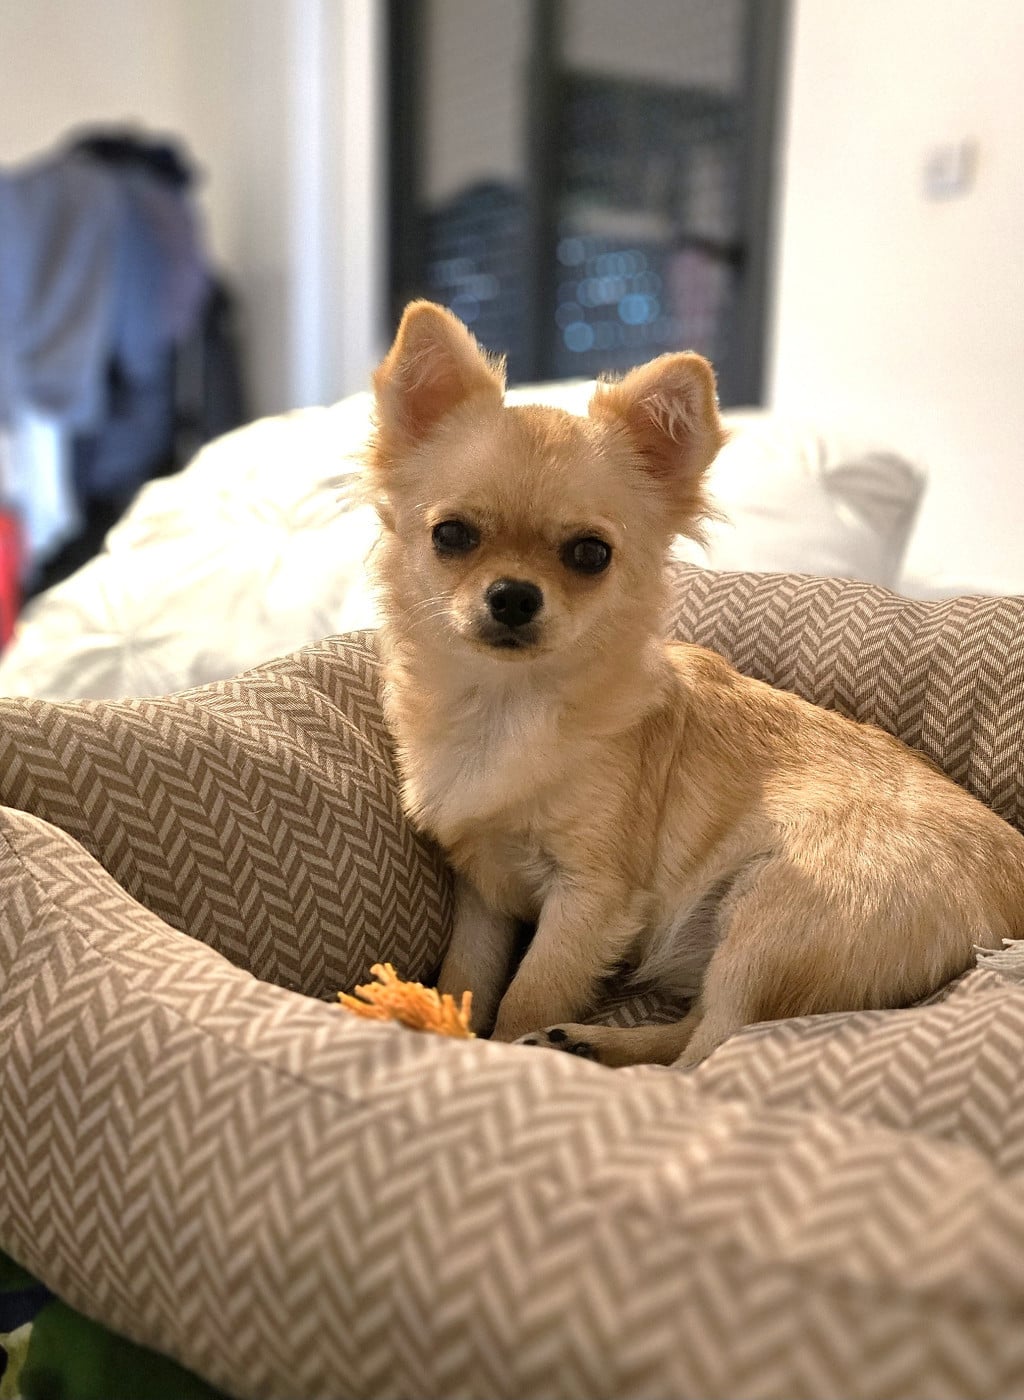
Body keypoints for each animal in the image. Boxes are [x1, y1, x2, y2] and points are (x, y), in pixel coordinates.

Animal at [365, 299, 1024, 1067]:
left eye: (590, 554)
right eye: (452, 535)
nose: (513, 596)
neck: (505, 704)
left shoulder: (589, 897)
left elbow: (529, 994)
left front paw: (506, 1053)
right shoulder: (484, 890)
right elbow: (465, 977)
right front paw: (454, 1030)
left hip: (773, 918)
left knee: (708, 1050)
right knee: (695, 1029)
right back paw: (588, 1043)